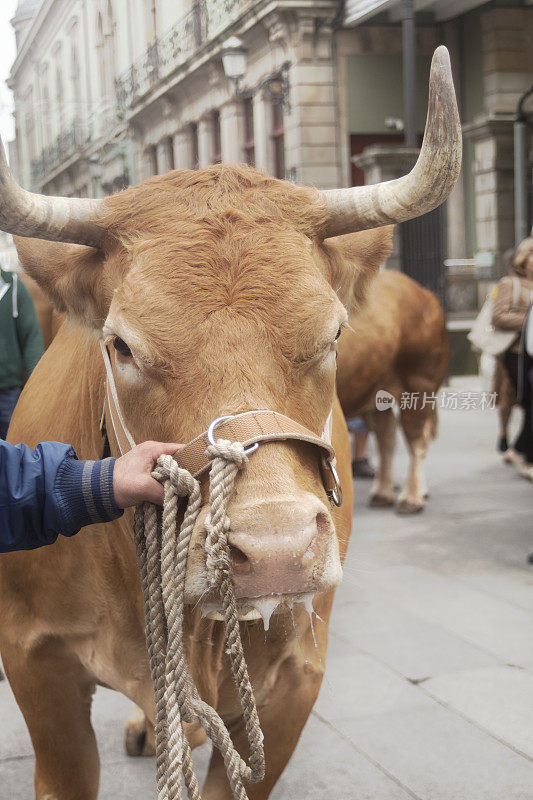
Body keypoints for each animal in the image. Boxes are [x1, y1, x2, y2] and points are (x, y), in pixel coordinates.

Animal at [336, 270, 448, 512]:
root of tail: (424, 292)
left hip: (418, 383)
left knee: (416, 439)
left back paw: (411, 498)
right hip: (374, 389)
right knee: (386, 434)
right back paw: (383, 493)